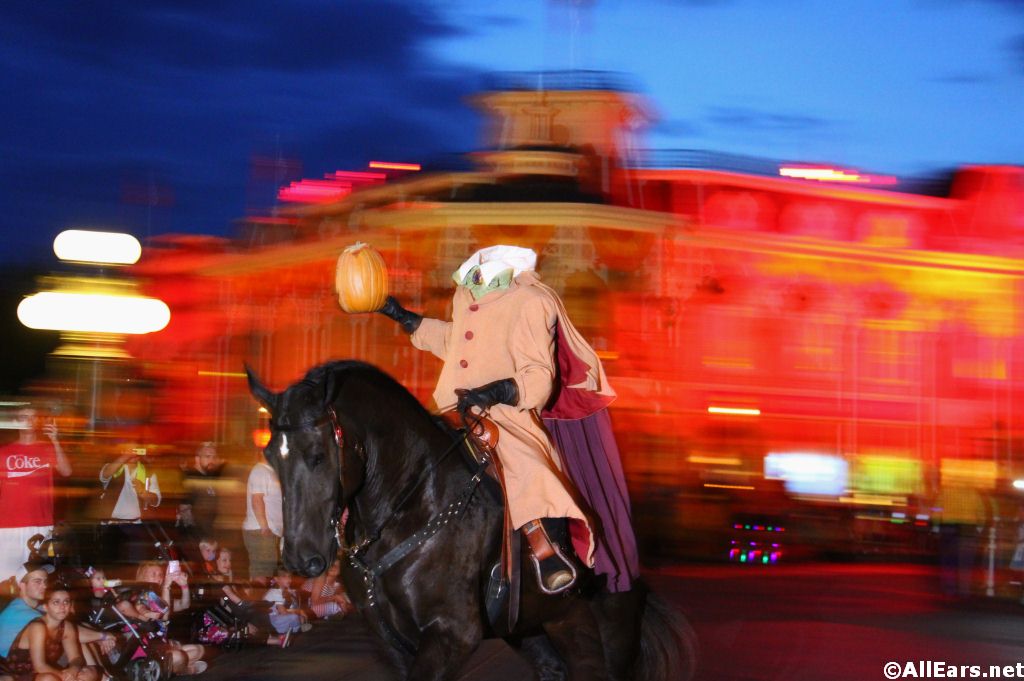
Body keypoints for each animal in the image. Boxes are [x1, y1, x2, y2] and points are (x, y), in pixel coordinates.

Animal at [247, 358, 696, 675]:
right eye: (271, 455)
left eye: (318, 456)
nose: (302, 559)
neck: (413, 509)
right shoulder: (392, 642)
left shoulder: (452, 634)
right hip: (547, 625)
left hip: (612, 632)